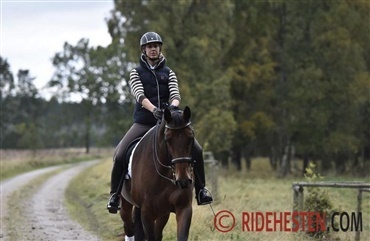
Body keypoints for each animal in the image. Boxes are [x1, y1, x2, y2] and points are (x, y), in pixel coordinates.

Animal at [120, 106, 195, 240]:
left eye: (191, 137)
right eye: (168, 139)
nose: (183, 180)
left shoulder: (184, 208)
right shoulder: (146, 213)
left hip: (162, 213)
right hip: (126, 204)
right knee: (129, 227)